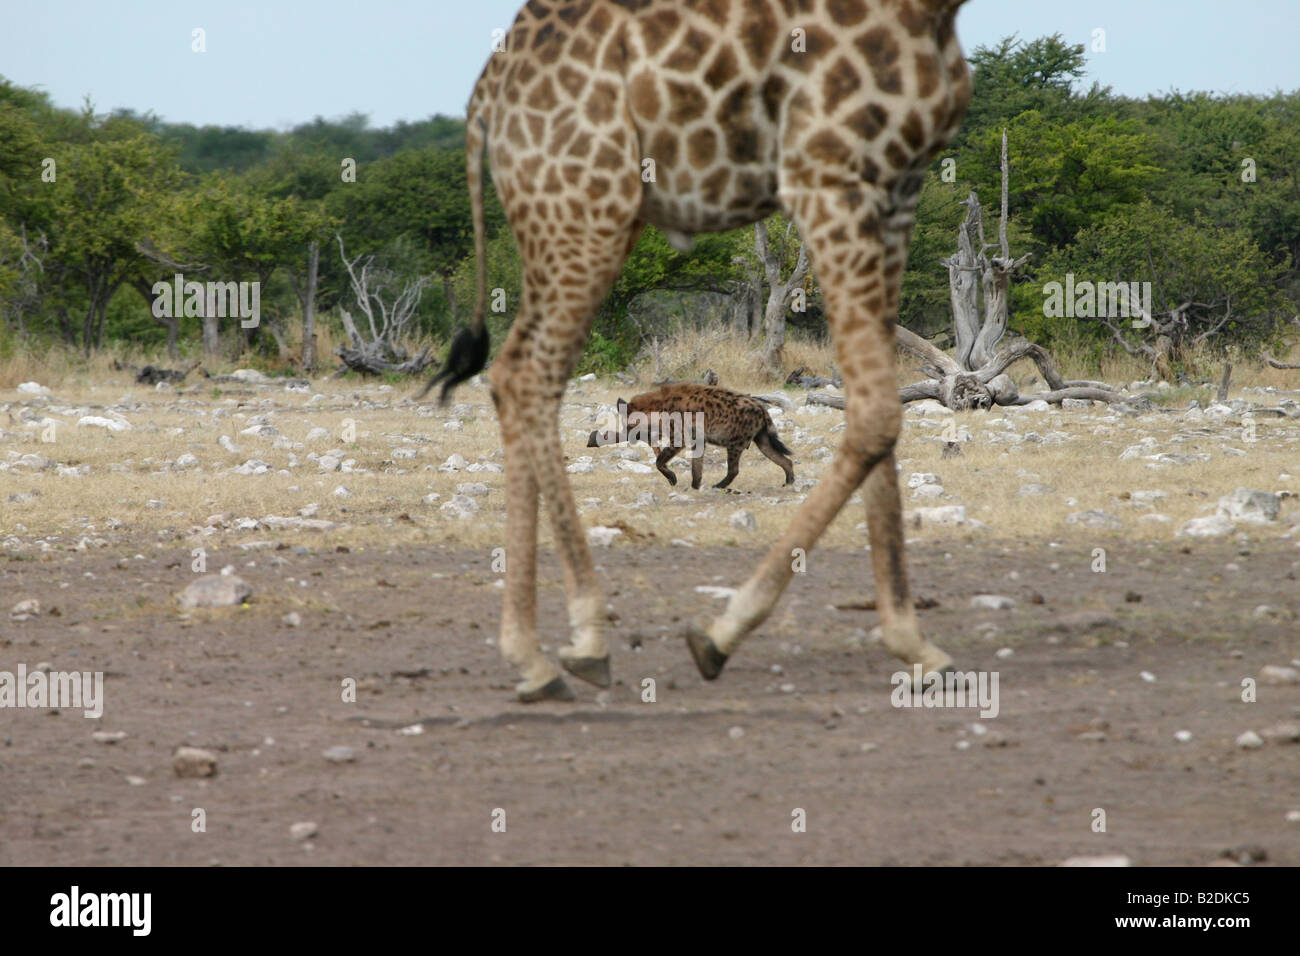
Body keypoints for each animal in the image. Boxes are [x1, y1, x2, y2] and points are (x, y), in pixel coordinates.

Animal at [428, 0, 977, 702]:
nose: (592, 438)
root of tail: (485, 93)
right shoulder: (835, 171)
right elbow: (872, 411)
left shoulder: (887, 181)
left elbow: (869, 409)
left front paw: (907, 639)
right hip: (585, 212)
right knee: (526, 375)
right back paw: (558, 649)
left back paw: (561, 647)